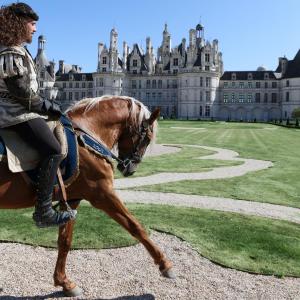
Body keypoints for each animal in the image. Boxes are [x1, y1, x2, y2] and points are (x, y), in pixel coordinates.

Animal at [0, 95, 173, 296]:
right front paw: (165, 264)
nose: (130, 169)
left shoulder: (73, 199)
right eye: (148, 138)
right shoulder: (103, 194)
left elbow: (65, 241)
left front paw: (65, 282)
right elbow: (135, 226)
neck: (88, 134)